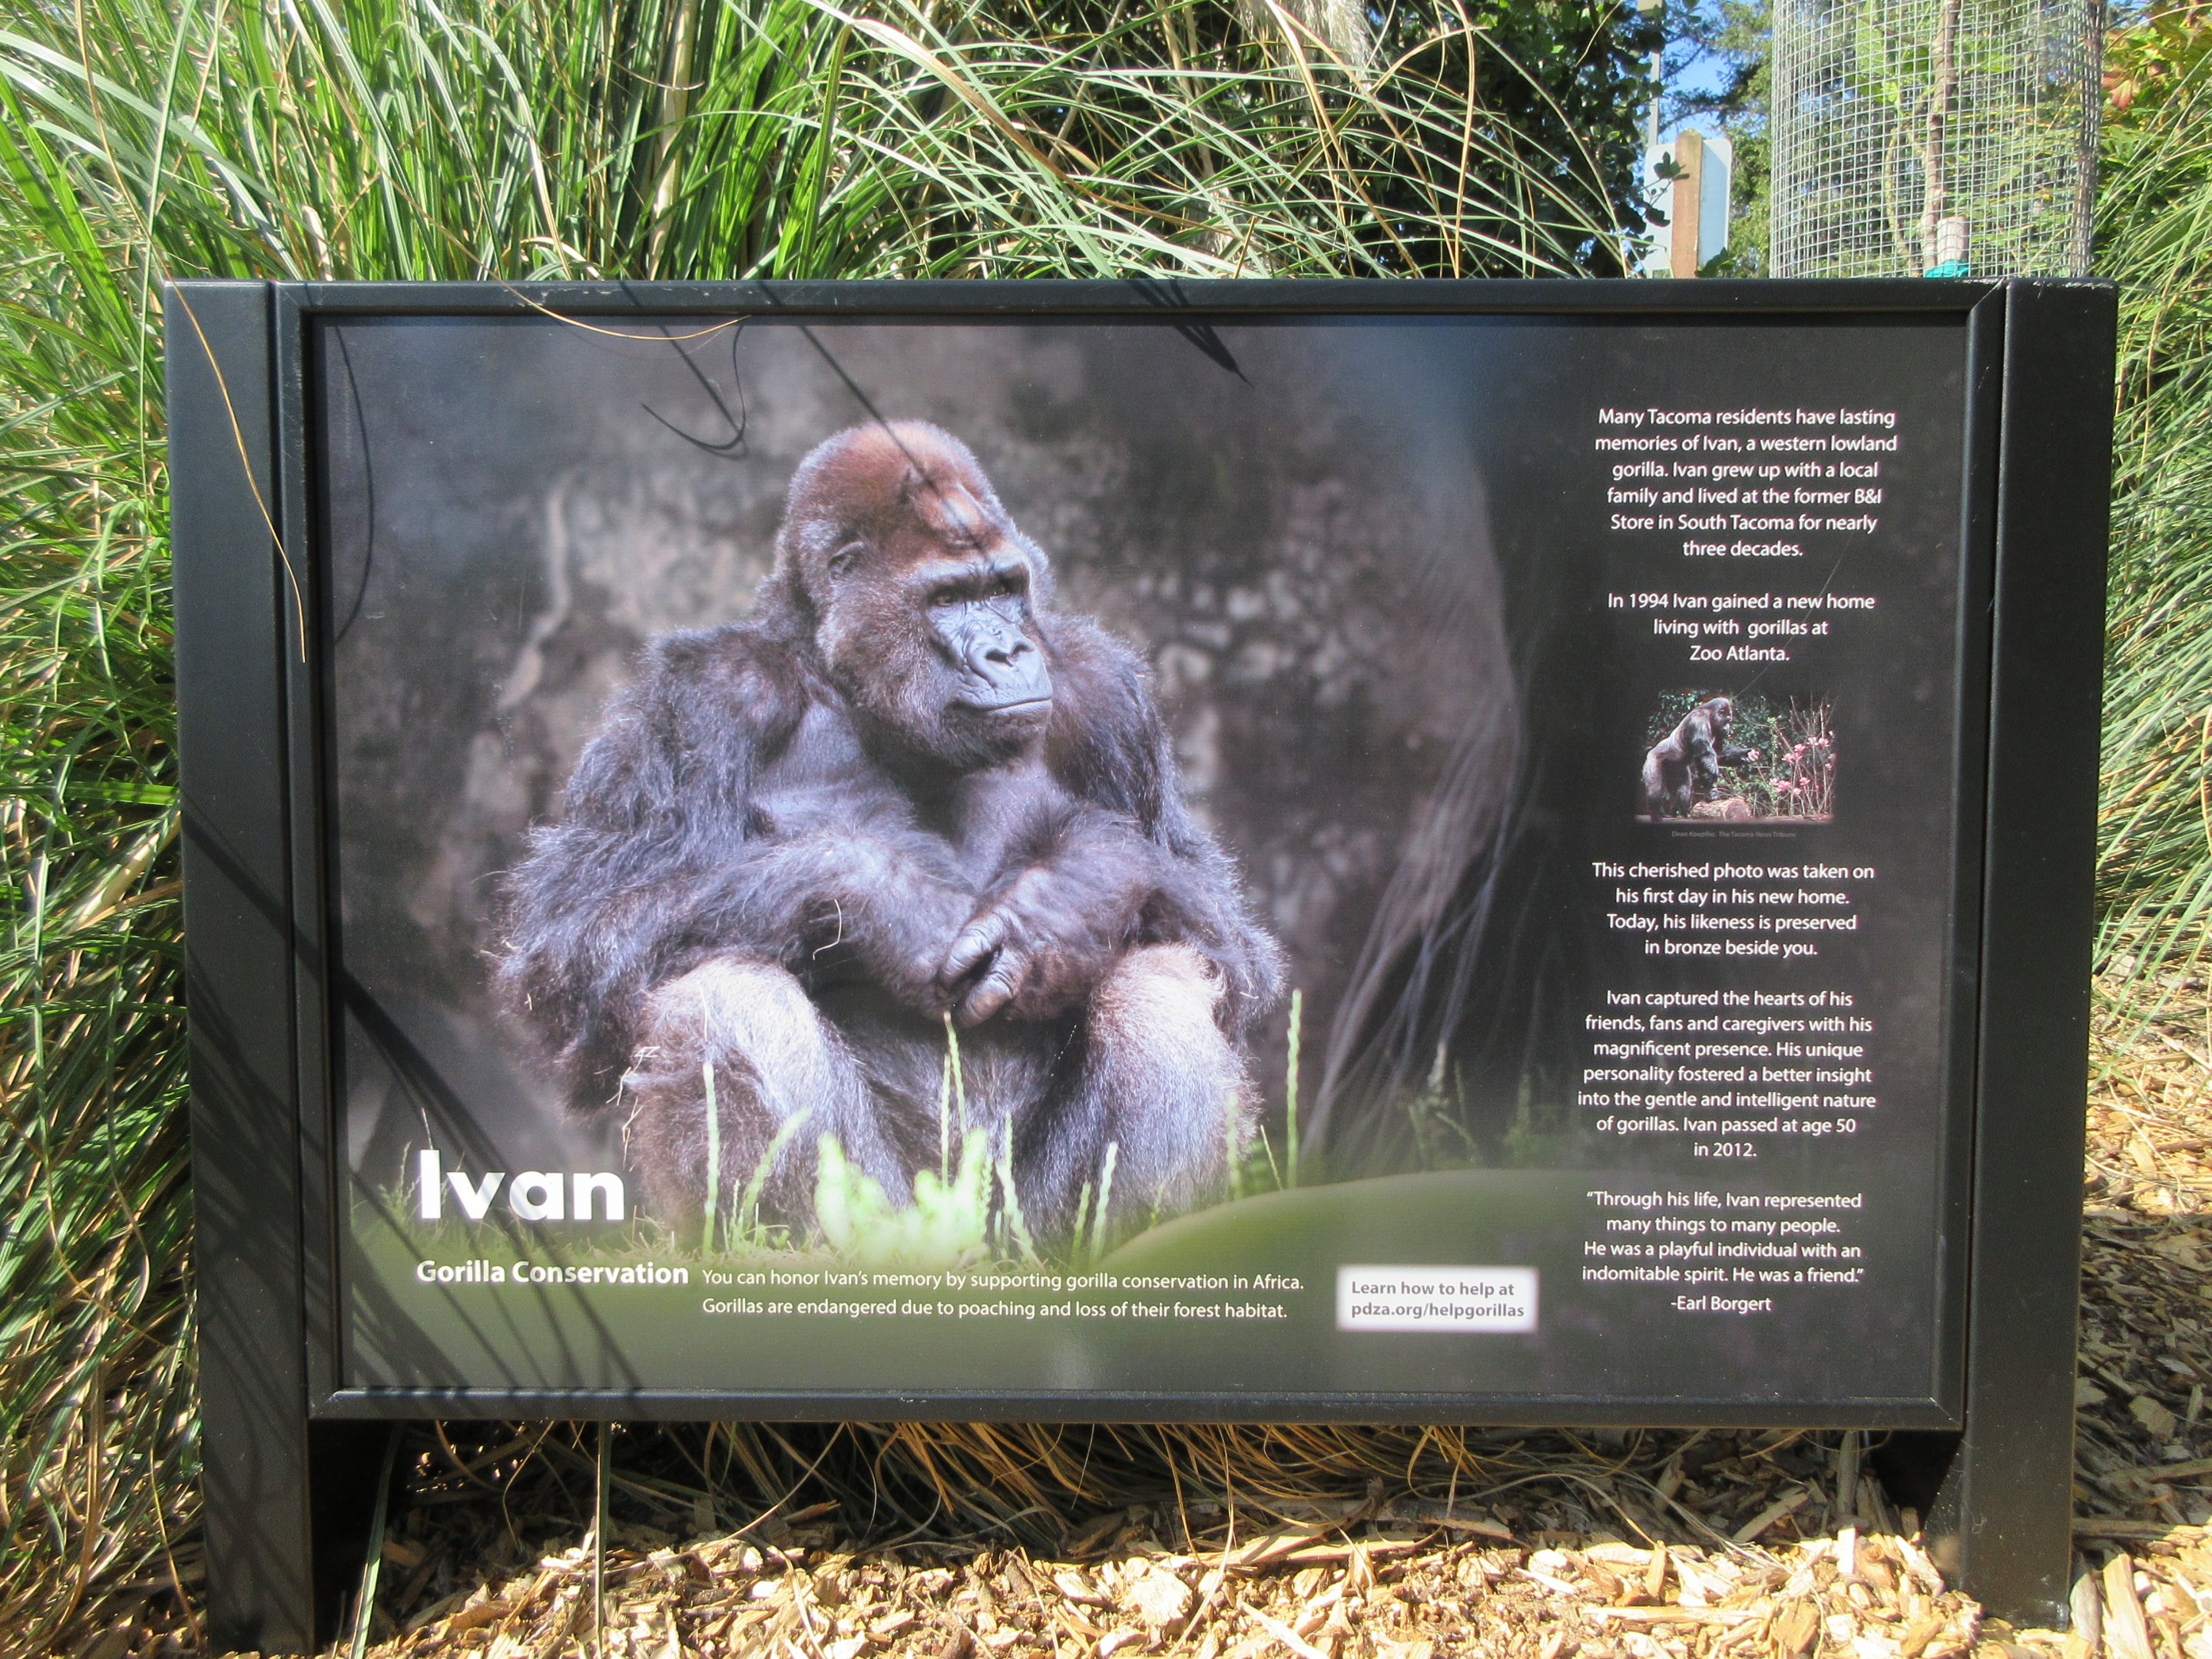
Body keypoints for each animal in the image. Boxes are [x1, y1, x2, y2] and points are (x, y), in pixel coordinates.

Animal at [497, 421, 1283, 1246]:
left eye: (1004, 588)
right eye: (948, 597)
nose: (1008, 652)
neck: (844, 679)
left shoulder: (1107, 694)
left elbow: (1227, 941)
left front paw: (1071, 899)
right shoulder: (703, 695)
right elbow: (572, 944)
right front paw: (885, 901)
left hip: (1022, 1232)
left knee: (1159, 987)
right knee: (724, 993)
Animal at [1638, 696, 1759, 820]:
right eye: (1727, 721)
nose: (1727, 729)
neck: (1710, 714)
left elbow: (1719, 753)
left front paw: (1746, 755)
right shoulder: (1699, 720)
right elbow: (1706, 754)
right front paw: (1712, 791)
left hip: (1677, 768)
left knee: (1684, 789)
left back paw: (1681, 813)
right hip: (1653, 758)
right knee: (1655, 789)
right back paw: (1657, 813)